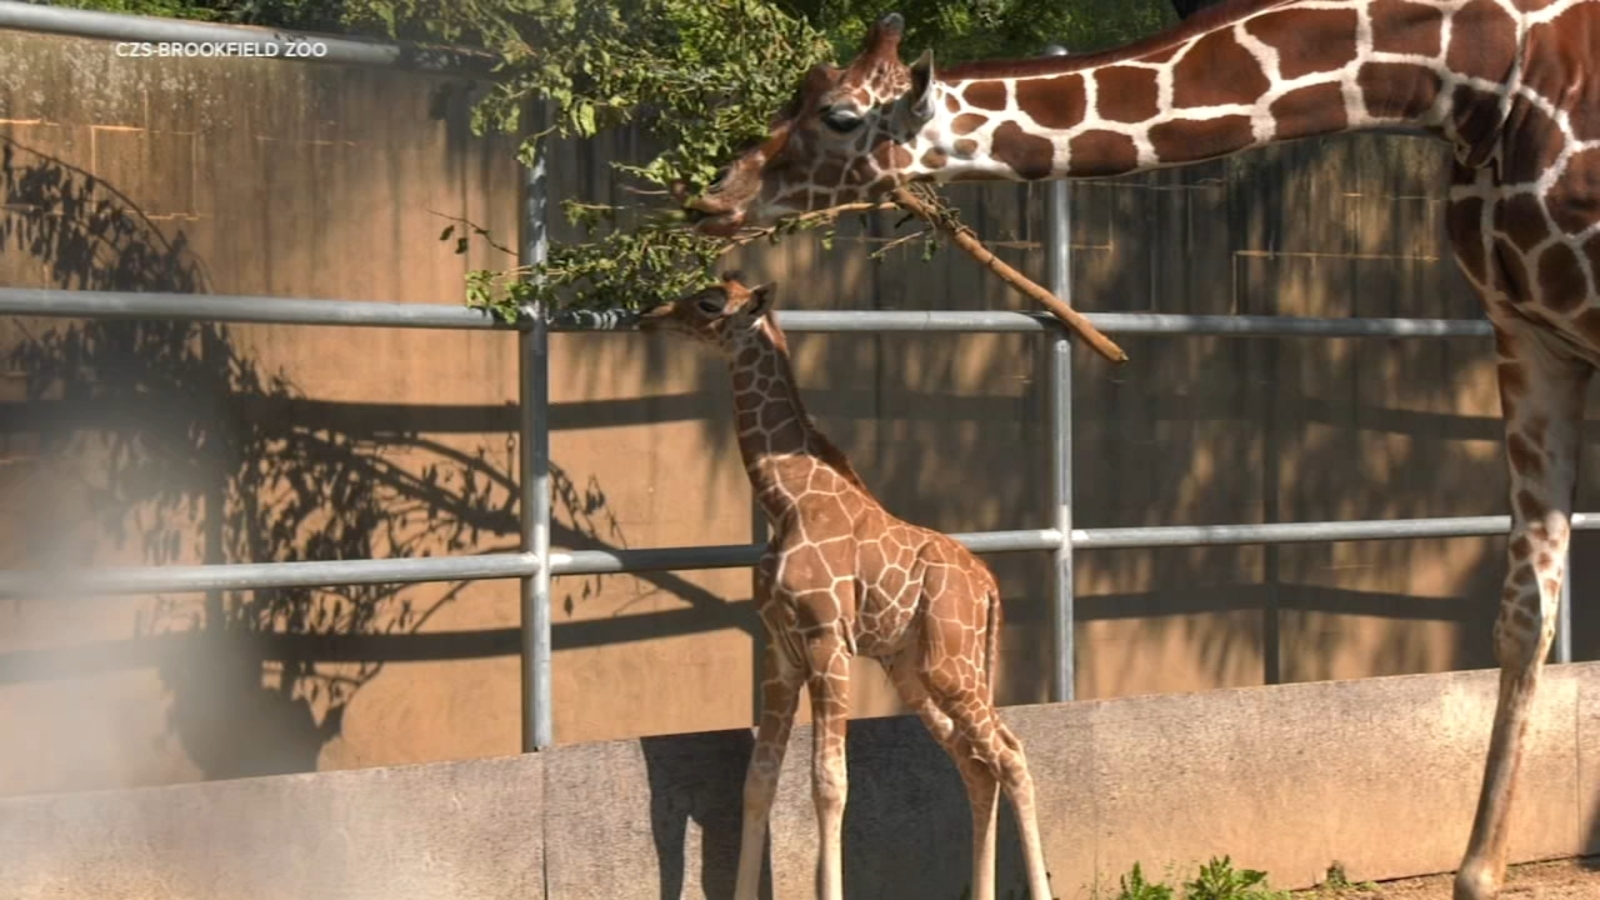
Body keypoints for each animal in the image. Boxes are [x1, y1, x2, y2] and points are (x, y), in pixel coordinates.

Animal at [638, 273, 1056, 900]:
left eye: (709, 304)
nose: (652, 315)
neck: (785, 501)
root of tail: (988, 586)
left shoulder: (826, 639)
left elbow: (830, 783)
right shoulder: (780, 651)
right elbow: (757, 782)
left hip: (950, 664)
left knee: (1010, 754)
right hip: (911, 669)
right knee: (975, 763)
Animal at [679, 3, 1600, 899]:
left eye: (837, 115)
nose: (714, 197)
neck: (1473, 72)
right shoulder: (1524, 328)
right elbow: (1526, 611)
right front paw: (1479, 872)